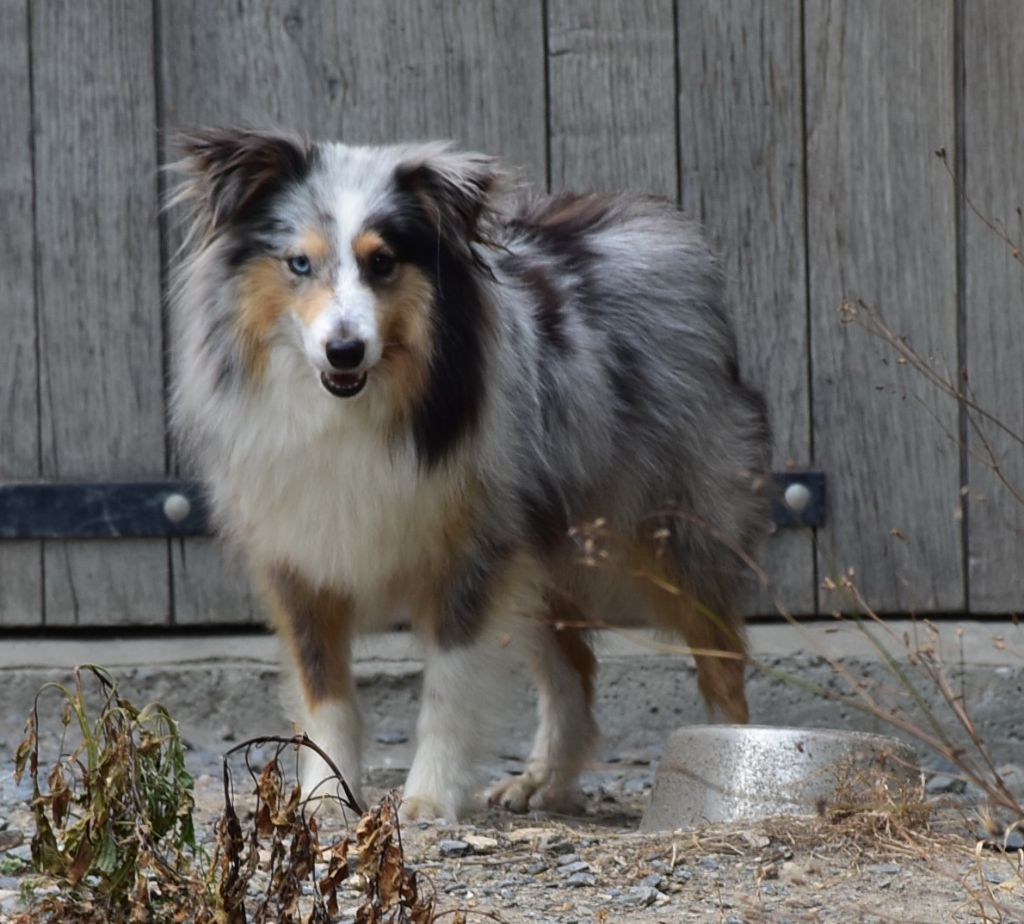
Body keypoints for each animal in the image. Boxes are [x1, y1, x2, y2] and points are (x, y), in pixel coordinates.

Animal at [172, 126, 770, 819]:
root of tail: (651, 219)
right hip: (545, 551)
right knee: (573, 672)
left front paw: (428, 800)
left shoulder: (475, 554)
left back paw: (733, 769)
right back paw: (542, 784)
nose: (344, 351)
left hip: (673, 534)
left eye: (383, 262)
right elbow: (325, 693)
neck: (355, 407)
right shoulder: (299, 563)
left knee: (720, 658)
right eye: (299, 263)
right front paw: (323, 799)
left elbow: (449, 687)